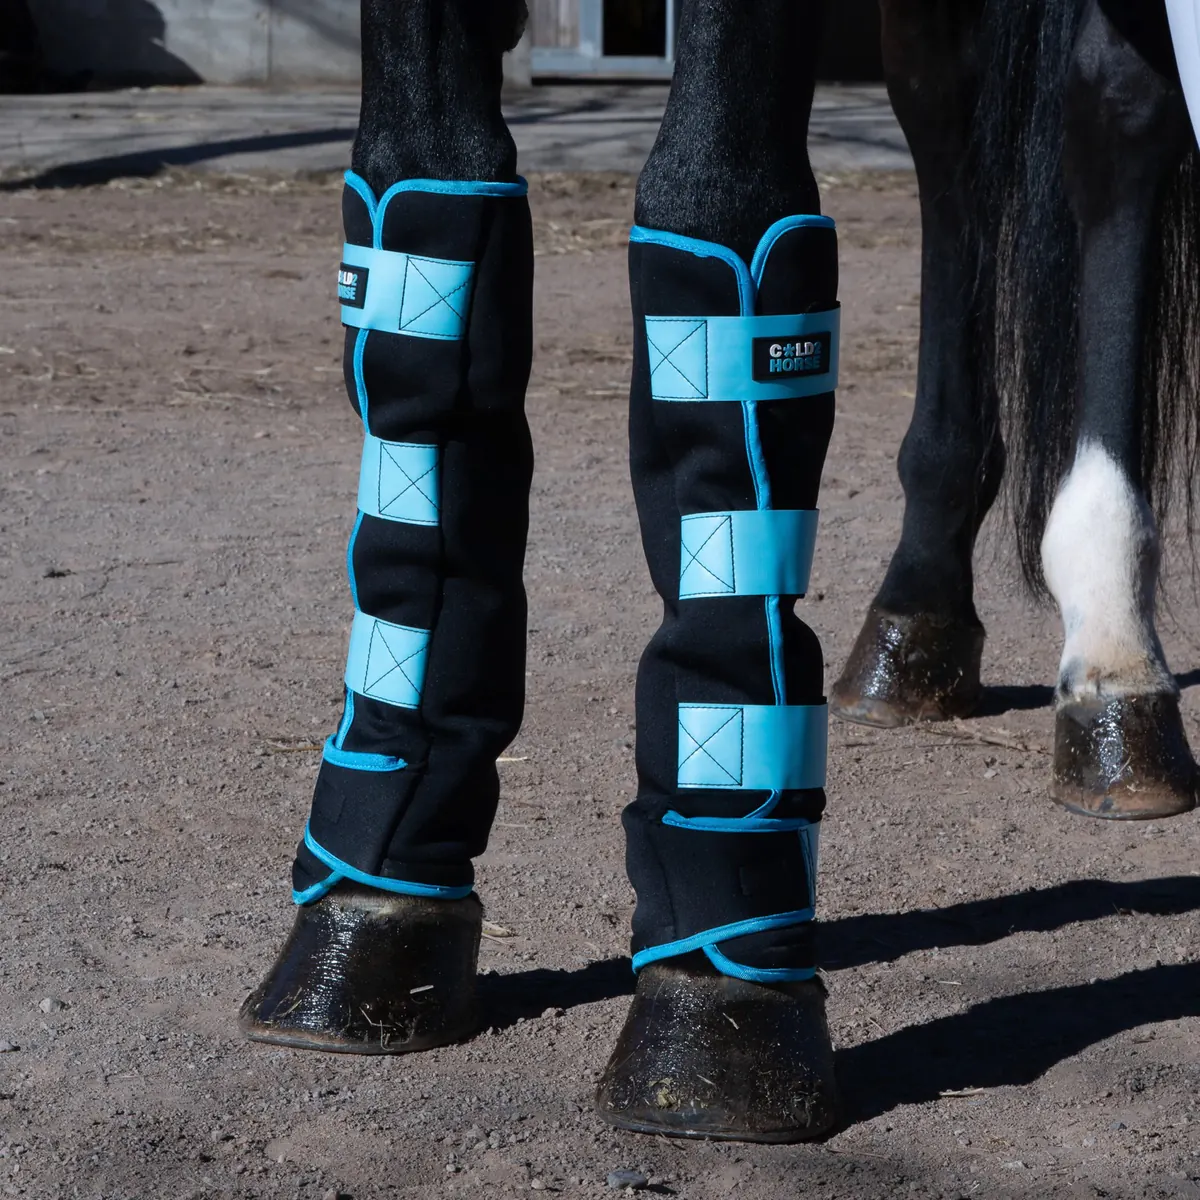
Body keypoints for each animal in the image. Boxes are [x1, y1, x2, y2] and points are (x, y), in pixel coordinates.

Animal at [239, 0, 1200, 1146]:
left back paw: (1114, 661)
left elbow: (710, 195)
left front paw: (716, 1017)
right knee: (949, 113)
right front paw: (371, 909)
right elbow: (421, 181)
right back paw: (916, 621)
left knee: (1111, 113)